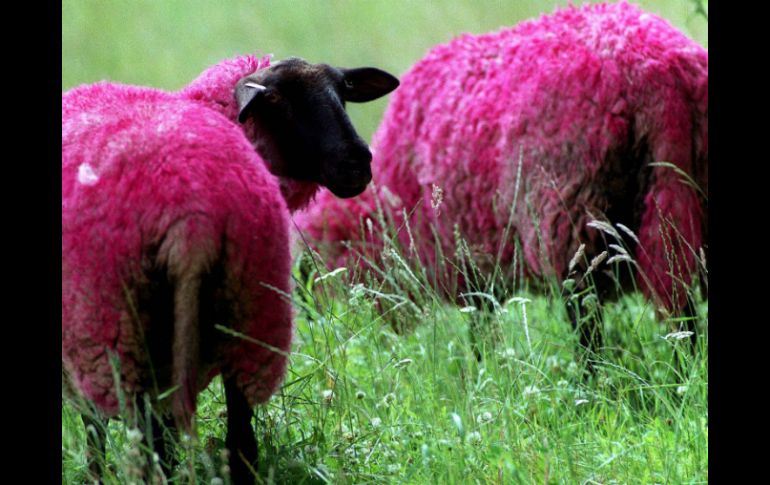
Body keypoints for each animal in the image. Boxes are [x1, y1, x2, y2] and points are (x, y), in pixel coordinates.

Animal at [61, 54, 396, 482]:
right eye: (277, 102)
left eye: (344, 93)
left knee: (150, 443)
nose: (357, 162)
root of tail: (192, 222)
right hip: (244, 317)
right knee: (238, 441)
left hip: (124, 332)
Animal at [294, 0, 708, 364]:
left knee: (592, 328)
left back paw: (597, 384)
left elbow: (481, 337)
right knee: (681, 317)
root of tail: (659, 66)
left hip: (571, 223)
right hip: (679, 209)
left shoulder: (467, 263)